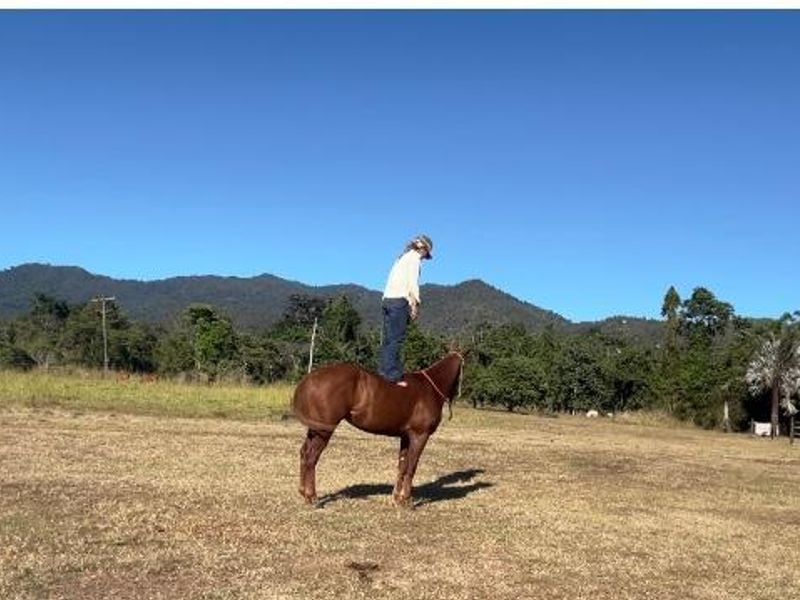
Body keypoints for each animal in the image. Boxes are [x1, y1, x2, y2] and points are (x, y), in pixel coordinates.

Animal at [292, 352, 464, 506]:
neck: (429, 387)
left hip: (315, 429)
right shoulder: (420, 435)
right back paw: (311, 496)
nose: (455, 396)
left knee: (304, 453)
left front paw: (396, 498)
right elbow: (411, 466)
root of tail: (311, 377)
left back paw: (303, 492)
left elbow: (402, 465)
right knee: (311, 457)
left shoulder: (405, 437)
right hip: (324, 432)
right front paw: (406, 500)